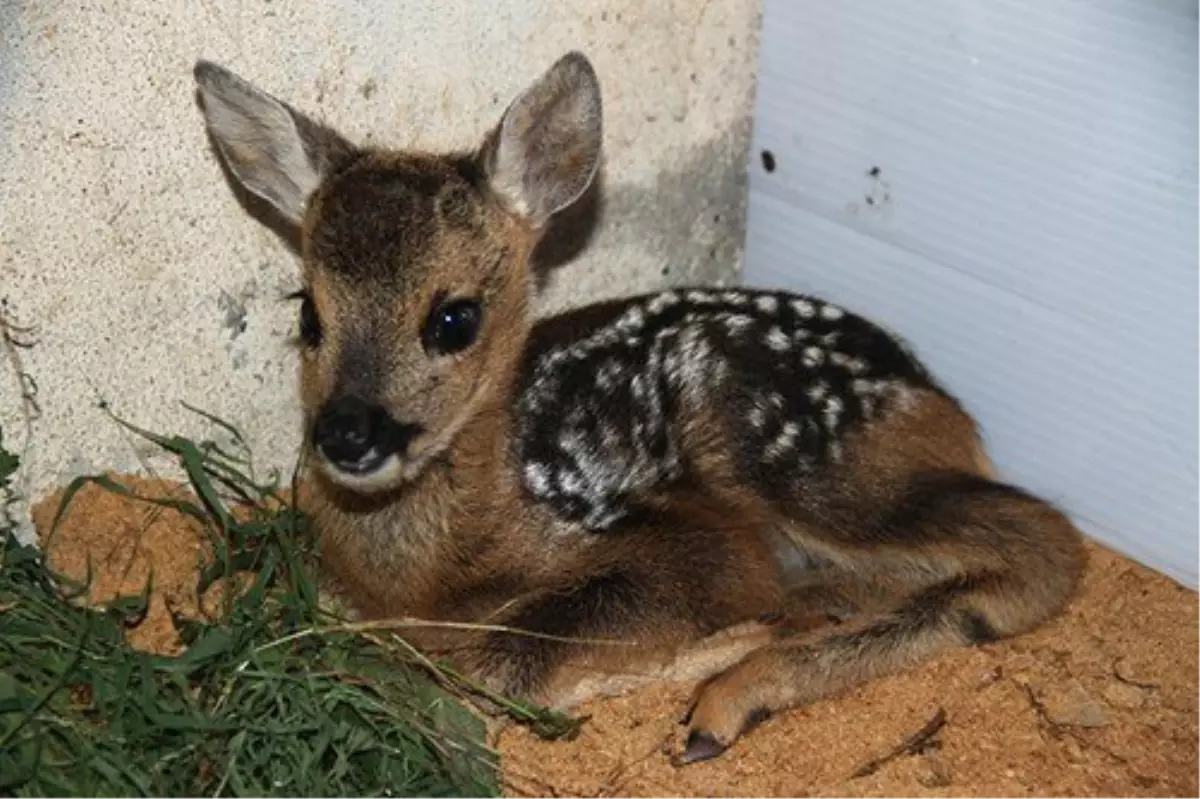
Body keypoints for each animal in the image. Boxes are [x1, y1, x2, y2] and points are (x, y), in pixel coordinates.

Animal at [192, 52, 1084, 763]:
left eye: (454, 317)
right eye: (309, 313)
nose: (347, 432)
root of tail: (931, 393)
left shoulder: (685, 538)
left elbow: (501, 658)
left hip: (776, 445)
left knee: (1044, 542)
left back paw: (732, 694)